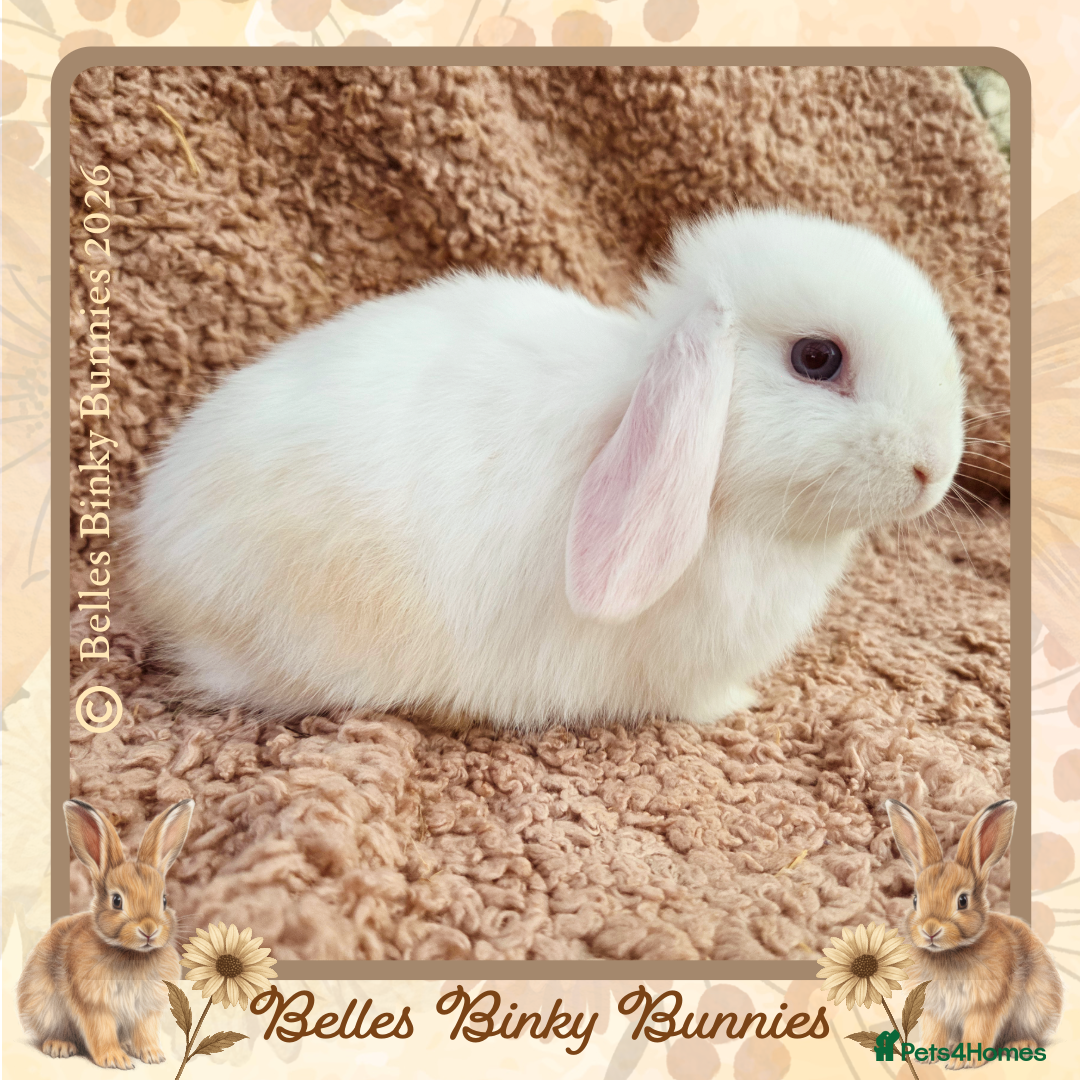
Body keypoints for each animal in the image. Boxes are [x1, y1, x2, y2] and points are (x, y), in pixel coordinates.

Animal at [17, 799, 194, 1069]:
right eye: (117, 901)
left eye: (164, 900)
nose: (149, 930)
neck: (131, 954)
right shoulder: (95, 1005)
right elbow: (101, 1031)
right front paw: (116, 1060)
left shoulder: (145, 1009)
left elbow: (145, 1031)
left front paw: (152, 1055)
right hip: (45, 1007)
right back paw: (59, 1046)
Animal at [886, 799, 1063, 1066]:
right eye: (915, 900)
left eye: (962, 901)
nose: (930, 930)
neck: (950, 952)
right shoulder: (935, 1009)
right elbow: (934, 1031)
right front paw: (927, 1056)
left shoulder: (984, 1004)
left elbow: (978, 1030)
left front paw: (963, 1061)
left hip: (1034, 1009)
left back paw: (1019, 1045)